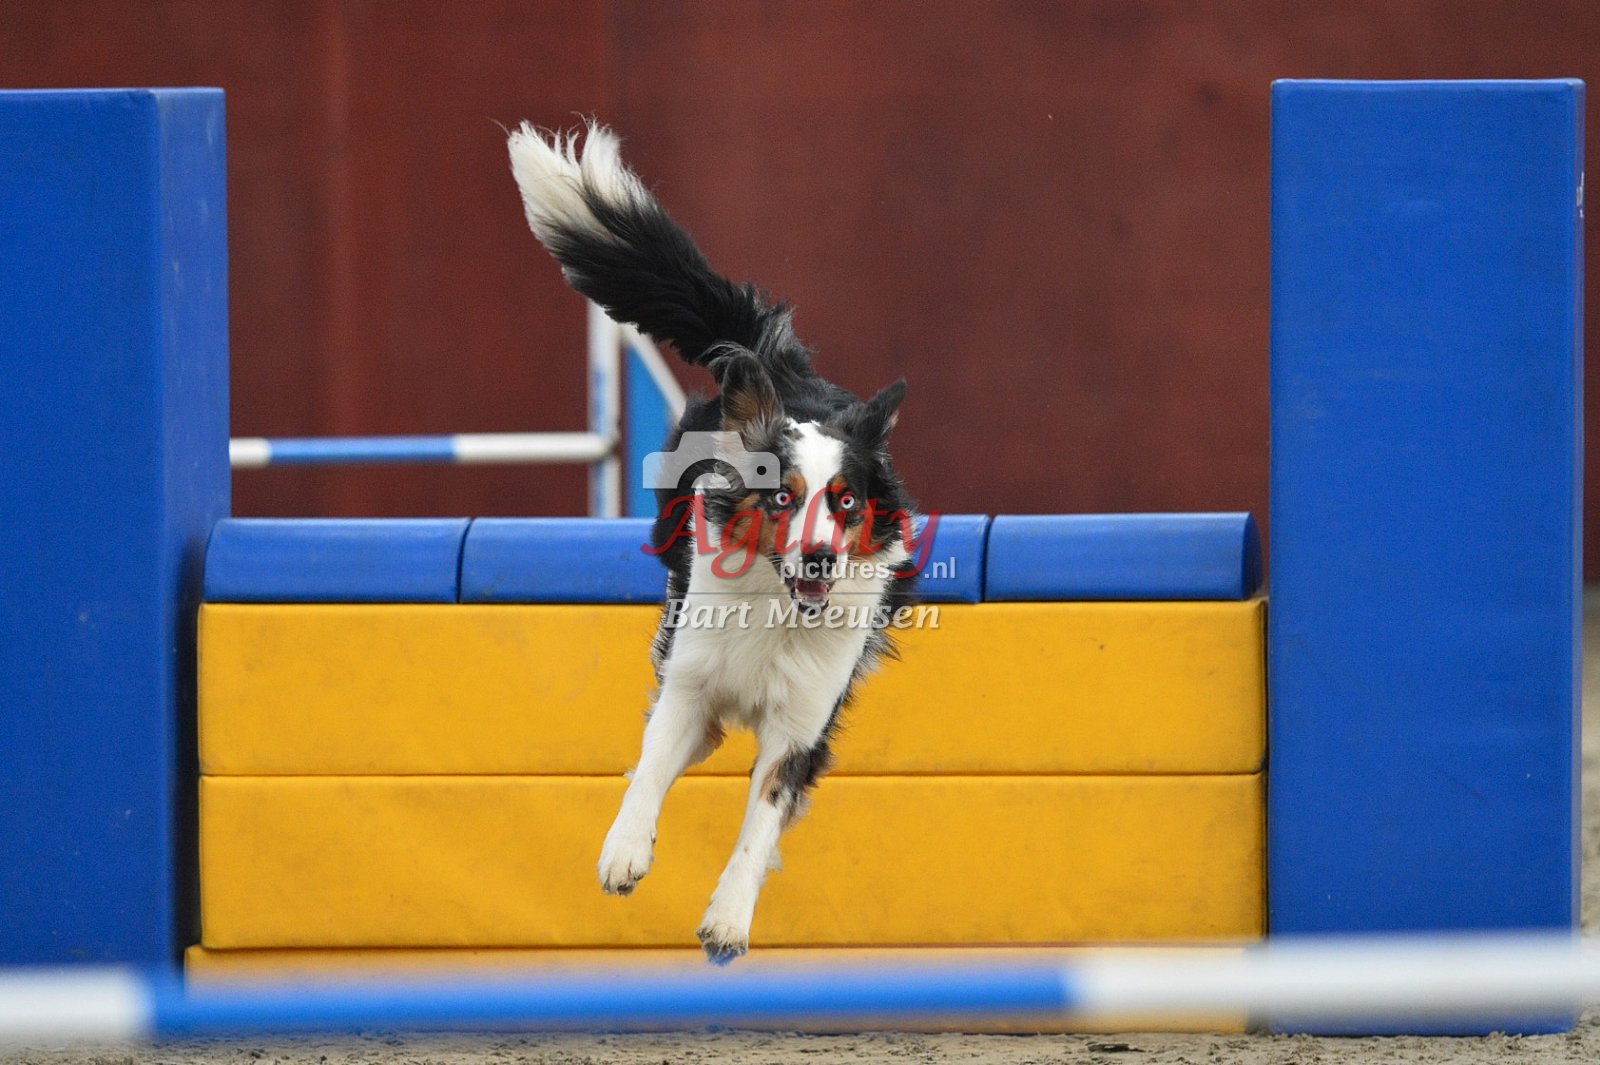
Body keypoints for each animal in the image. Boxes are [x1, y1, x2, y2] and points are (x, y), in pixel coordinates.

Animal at [507, 121, 917, 963]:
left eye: (845, 500)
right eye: (782, 496)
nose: (819, 557)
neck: (776, 612)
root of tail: (775, 362)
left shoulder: (802, 720)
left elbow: (761, 819)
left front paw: (728, 917)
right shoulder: (692, 676)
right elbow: (653, 759)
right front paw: (624, 850)